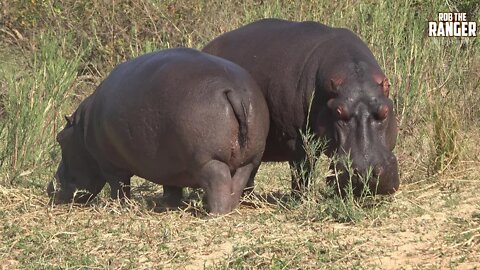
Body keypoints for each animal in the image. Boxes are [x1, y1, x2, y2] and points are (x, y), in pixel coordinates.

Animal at [47, 47, 270, 214]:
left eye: (59, 139)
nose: (51, 189)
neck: (80, 129)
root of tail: (234, 90)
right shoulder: (171, 165)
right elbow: (171, 187)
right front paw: (168, 204)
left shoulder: (111, 165)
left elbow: (119, 187)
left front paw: (118, 206)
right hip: (249, 160)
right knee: (238, 182)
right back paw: (231, 208)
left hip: (208, 160)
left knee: (219, 182)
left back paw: (216, 214)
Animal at [203, 19, 402, 196]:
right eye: (339, 112)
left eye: (385, 112)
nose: (365, 172)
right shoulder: (297, 139)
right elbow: (302, 169)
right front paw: (301, 198)